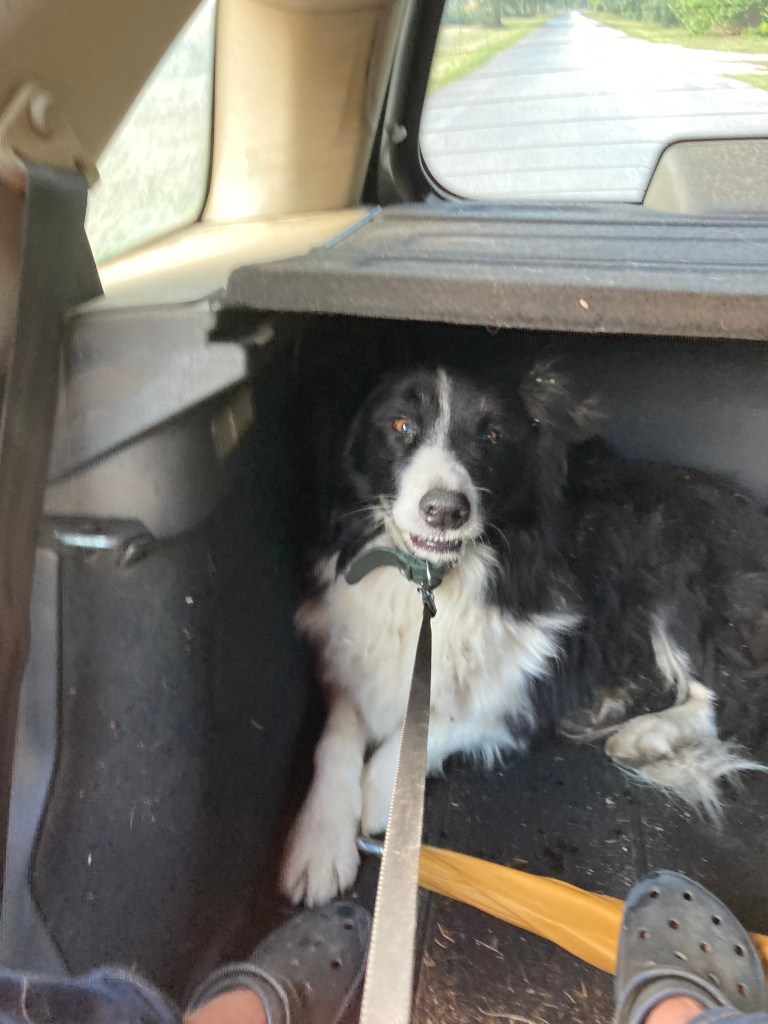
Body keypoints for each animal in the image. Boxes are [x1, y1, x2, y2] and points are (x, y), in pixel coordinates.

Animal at [281, 364, 768, 906]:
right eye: (401, 424)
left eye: (492, 436)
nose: (446, 510)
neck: (432, 578)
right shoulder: (351, 651)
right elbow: (335, 735)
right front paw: (320, 842)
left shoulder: (526, 686)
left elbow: (448, 719)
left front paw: (383, 797)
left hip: (681, 559)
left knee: (731, 697)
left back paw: (647, 733)